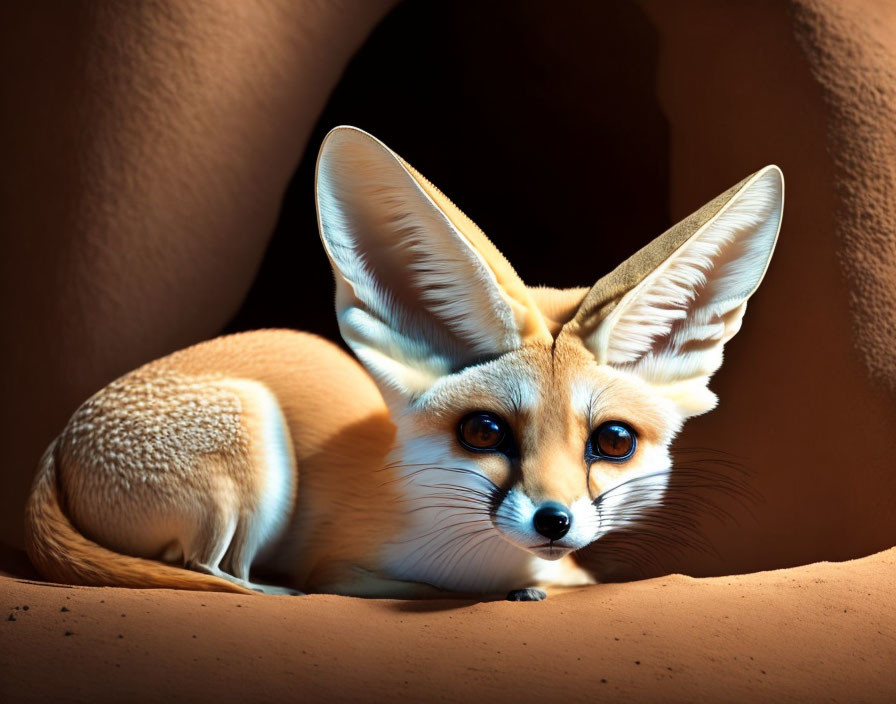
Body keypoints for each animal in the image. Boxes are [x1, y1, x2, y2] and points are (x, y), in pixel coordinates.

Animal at [24, 126, 784, 600]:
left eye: (614, 442)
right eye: (483, 432)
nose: (554, 521)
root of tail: (57, 444)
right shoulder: (341, 563)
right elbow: (378, 584)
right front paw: (521, 587)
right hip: (254, 452)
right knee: (208, 568)